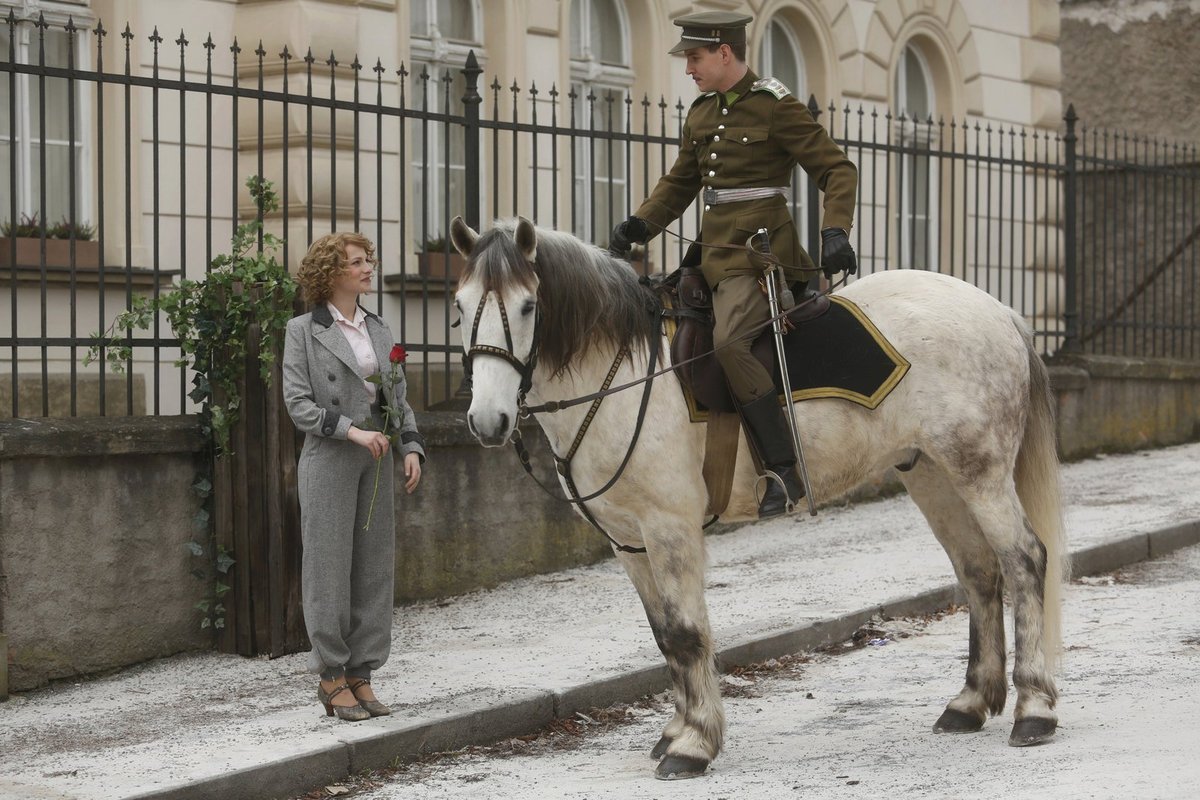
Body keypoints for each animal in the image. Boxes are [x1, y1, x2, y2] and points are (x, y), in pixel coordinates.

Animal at [446, 215, 1065, 777]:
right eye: (458, 304)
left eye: (528, 307)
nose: (487, 421)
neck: (621, 373)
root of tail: (1000, 310)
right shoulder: (629, 542)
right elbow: (664, 635)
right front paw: (676, 730)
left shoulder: (669, 527)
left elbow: (686, 633)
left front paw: (694, 743)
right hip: (933, 475)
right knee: (979, 571)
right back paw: (970, 702)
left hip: (979, 473)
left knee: (1024, 560)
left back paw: (1034, 708)